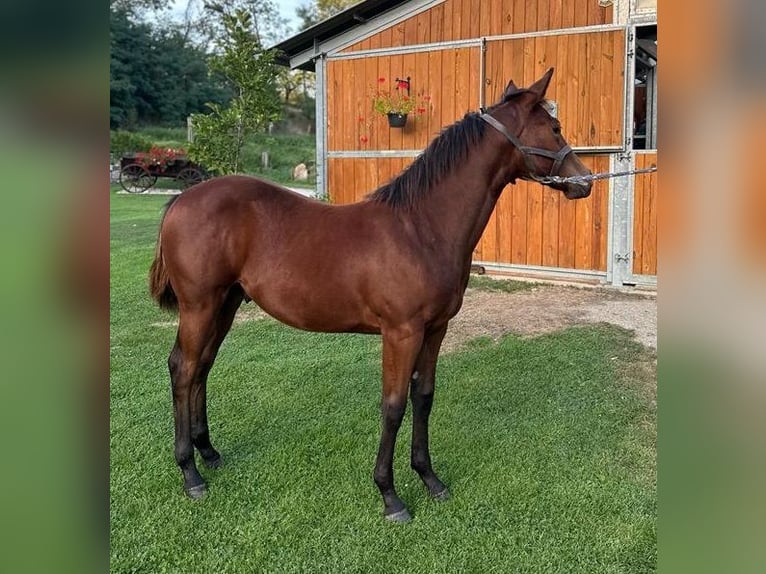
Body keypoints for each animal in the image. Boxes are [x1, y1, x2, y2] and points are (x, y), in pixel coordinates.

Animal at [150, 70, 592, 524]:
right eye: (554, 128)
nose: (584, 181)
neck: (421, 228)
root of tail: (181, 200)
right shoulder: (401, 332)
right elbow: (393, 405)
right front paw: (390, 495)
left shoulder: (435, 330)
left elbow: (423, 397)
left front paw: (430, 479)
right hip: (200, 305)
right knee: (183, 368)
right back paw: (190, 473)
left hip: (226, 304)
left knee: (202, 367)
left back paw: (209, 453)